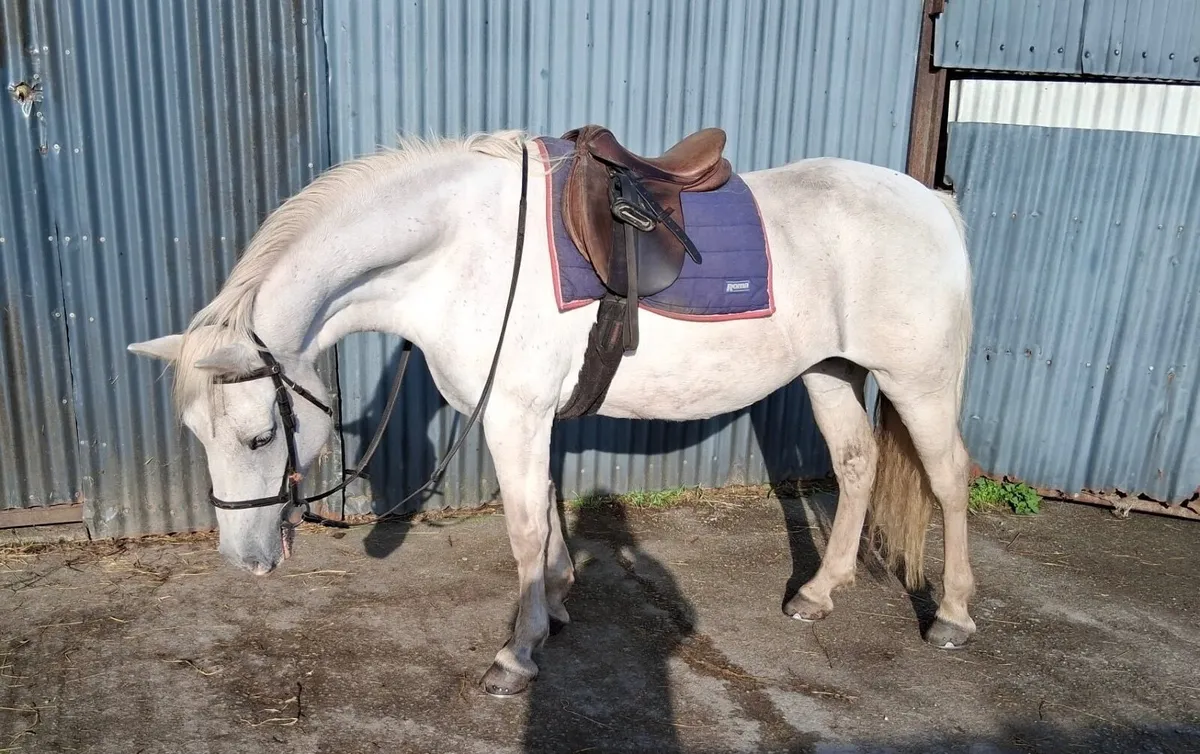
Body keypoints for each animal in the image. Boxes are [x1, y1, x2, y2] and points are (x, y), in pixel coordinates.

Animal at [127, 128, 975, 697]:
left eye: (259, 434)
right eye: (196, 434)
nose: (244, 560)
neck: (459, 254)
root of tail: (931, 204)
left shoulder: (515, 416)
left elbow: (525, 528)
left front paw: (520, 651)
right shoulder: (534, 419)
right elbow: (550, 513)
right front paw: (560, 602)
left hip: (919, 381)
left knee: (948, 478)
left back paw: (955, 617)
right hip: (830, 372)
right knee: (857, 465)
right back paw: (820, 593)